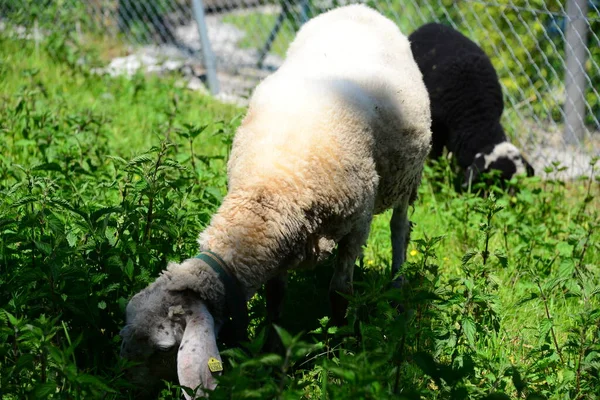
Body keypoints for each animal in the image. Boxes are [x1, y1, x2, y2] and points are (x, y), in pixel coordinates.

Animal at [120, 4, 432, 398]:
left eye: (162, 349)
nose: (121, 384)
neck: (270, 186)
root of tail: (355, 7)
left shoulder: (356, 226)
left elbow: (339, 292)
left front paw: (341, 351)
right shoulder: (280, 239)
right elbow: (276, 298)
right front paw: (270, 354)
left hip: (409, 176)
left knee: (399, 228)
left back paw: (397, 285)